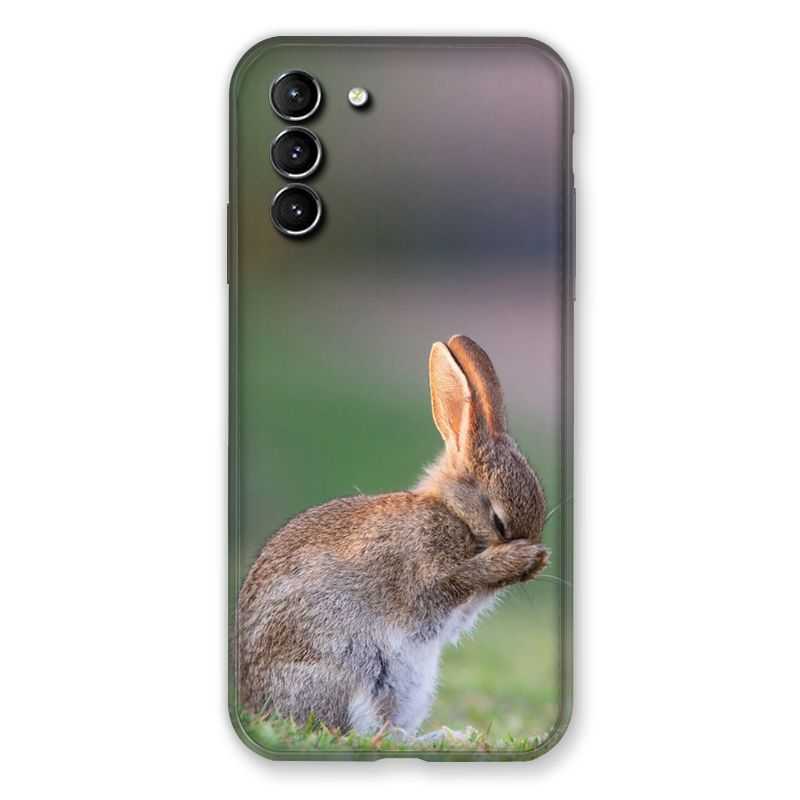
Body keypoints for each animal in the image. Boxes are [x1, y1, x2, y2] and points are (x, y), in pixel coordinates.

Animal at [237, 335, 549, 736]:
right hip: (351, 667)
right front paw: (519, 558)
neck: (453, 513)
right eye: (498, 521)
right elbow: (454, 581)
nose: (534, 557)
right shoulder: (426, 571)